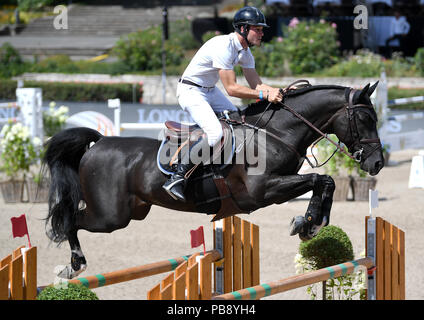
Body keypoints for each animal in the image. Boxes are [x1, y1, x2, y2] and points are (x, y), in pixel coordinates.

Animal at [43, 83, 384, 280]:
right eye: (365, 118)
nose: (377, 163)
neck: (275, 133)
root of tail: (99, 142)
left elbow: (325, 181)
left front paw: (312, 224)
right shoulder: (262, 191)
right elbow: (319, 178)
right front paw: (308, 222)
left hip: (132, 211)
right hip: (110, 216)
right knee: (71, 221)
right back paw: (73, 265)